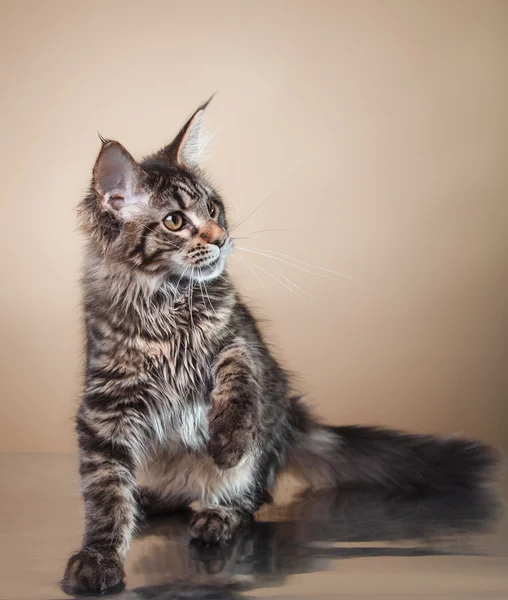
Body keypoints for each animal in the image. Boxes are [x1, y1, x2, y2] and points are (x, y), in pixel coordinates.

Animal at [61, 99, 498, 596]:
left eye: (215, 208)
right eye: (175, 220)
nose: (221, 239)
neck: (165, 302)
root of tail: (293, 422)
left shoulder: (239, 337)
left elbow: (238, 373)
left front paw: (228, 441)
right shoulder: (106, 406)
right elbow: (106, 492)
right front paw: (99, 557)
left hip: (264, 441)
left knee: (249, 495)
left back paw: (217, 515)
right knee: (169, 494)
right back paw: (148, 500)